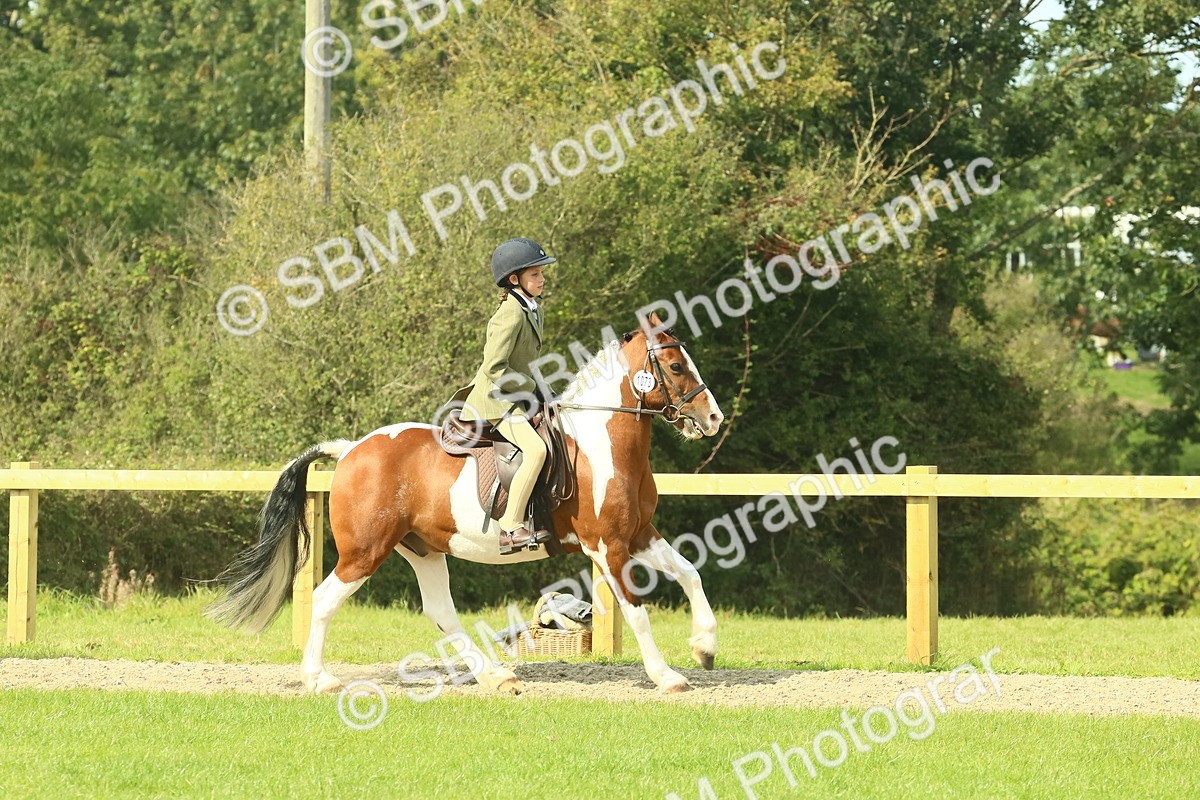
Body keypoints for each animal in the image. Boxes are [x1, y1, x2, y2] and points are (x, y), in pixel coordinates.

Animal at [205, 312, 725, 695]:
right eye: (676, 367)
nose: (714, 418)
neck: (603, 444)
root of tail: (351, 448)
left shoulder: (638, 535)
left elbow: (690, 573)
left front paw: (704, 647)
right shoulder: (607, 546)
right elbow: (637, 612)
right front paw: (667, 677)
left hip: (423, 548)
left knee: (440, 610)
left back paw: (496, 677)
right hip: (365, 552)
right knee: (325, 599)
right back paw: (320, 680)